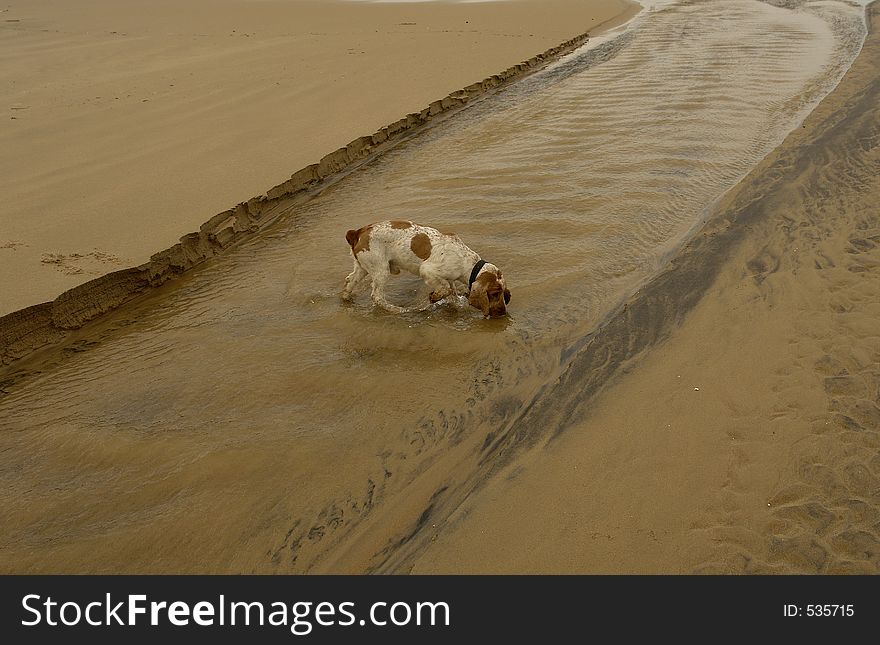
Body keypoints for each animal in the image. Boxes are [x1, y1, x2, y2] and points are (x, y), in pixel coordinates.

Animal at [342, 220, 508, 318]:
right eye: (495, 294)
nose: (502, 312)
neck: (467, 261)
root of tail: (358, 232)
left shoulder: (449, 279)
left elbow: (452, 293)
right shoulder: (427, 270)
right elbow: (446, 289)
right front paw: (434, 297)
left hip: (362, 268)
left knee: (349, 282)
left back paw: (346, 299)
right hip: (381, 270)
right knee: (377, 296)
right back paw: (398, 311)